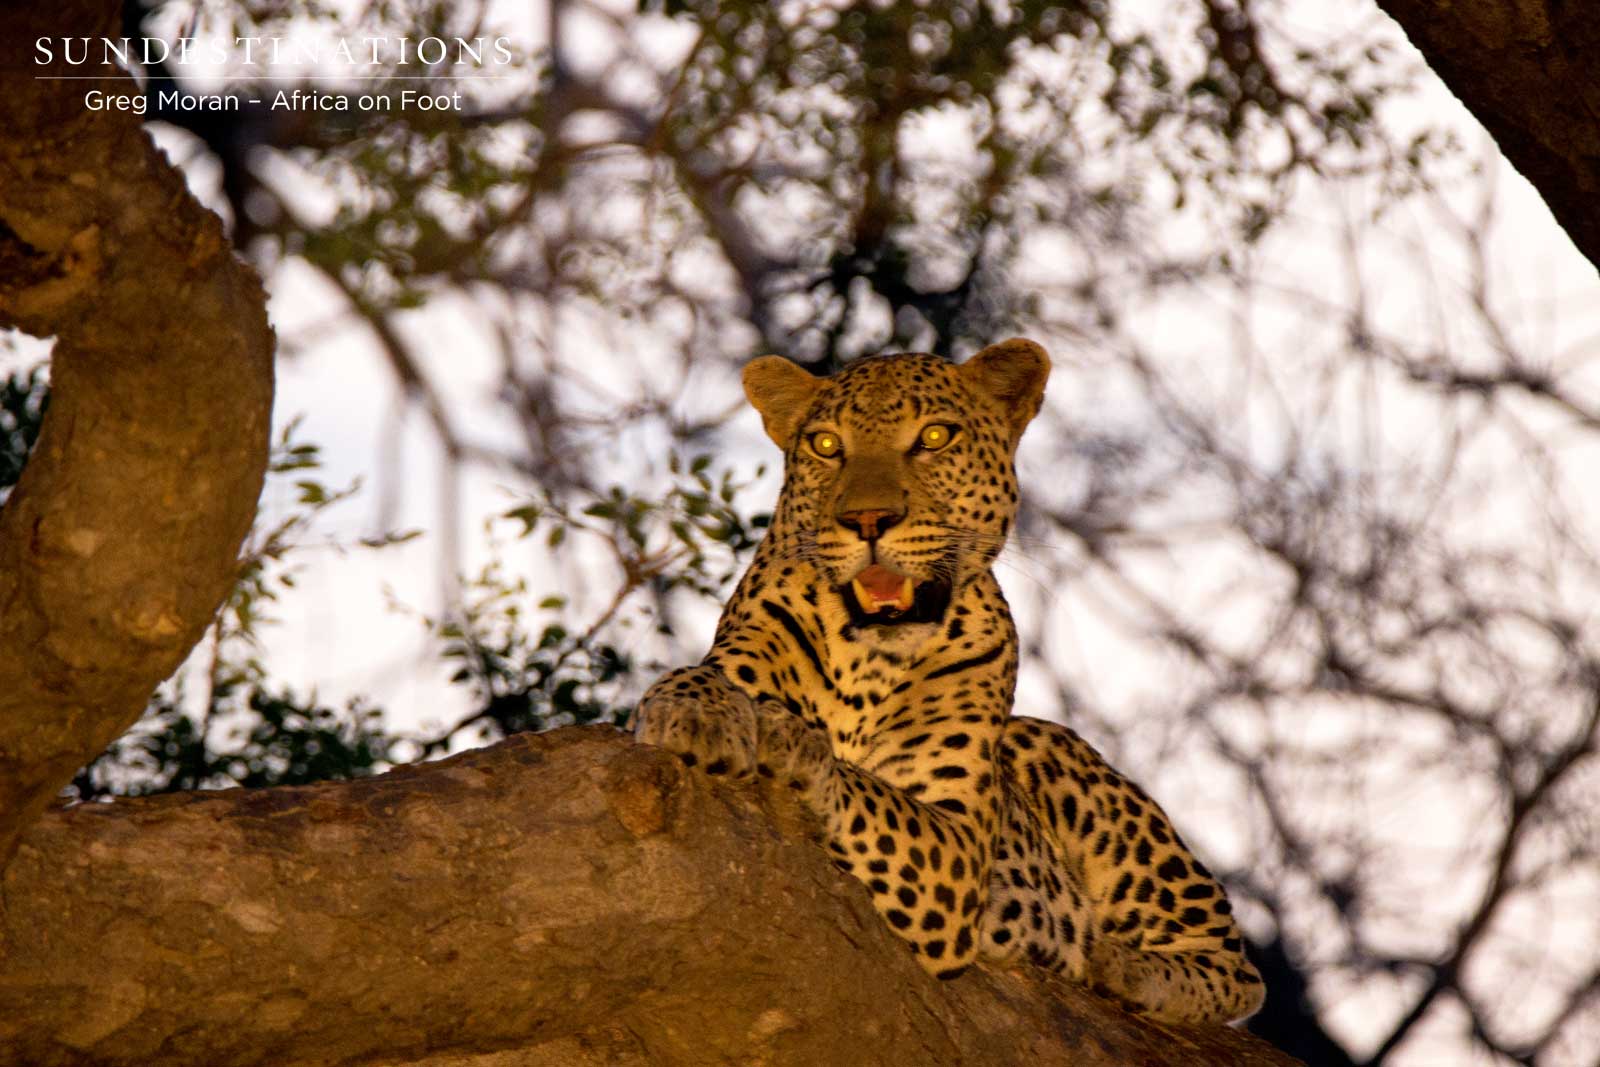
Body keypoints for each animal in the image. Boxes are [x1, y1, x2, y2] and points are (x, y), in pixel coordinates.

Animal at [631, 338, 1265, 1024]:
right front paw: (698, 715)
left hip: (1065, 762)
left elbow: (870, 789)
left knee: (1236, 967)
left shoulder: (959, 843)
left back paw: (1122, 967)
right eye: (826, 445)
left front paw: (792, 742)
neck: (869, 659)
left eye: (934, 437)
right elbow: (696, 678)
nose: (869, 519)